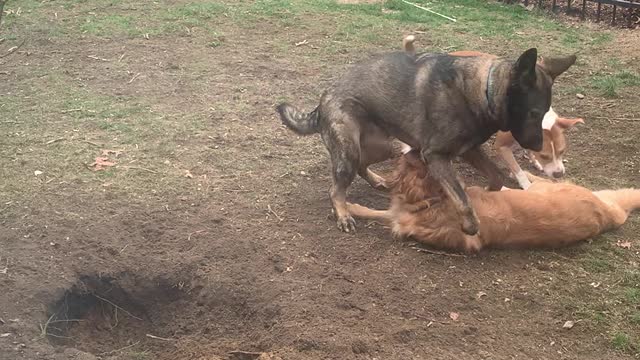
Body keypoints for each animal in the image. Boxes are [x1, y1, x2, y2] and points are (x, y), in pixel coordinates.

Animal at [278, 46, 576, 235]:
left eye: (544, 112)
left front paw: (487, 194)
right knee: (336, 189)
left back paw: (377, 181)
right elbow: (461, 198)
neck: (482, 90)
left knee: (363, 165)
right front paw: (470, 225)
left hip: (384, 147)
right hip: (350, 151)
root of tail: (322, 100)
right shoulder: (436, 156)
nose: (537, 147)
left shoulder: (469, 151)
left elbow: (495, 177)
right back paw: (342, 214)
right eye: (534, 112)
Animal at [348, 147, 640, 253]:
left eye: (419, 158)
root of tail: (607, 214)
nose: (415, 147)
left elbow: (379, 213)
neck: (433, 198)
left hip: (543, 189)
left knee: (540, 180)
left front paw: (350, 208)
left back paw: (527, 174)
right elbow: (378, 211)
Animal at [404, 35, 584, 190]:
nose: (559, 174)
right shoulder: (502, 146)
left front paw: (535, 161)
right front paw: (527, 185)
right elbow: (517, 169)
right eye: (546, 156)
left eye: (562, 151)